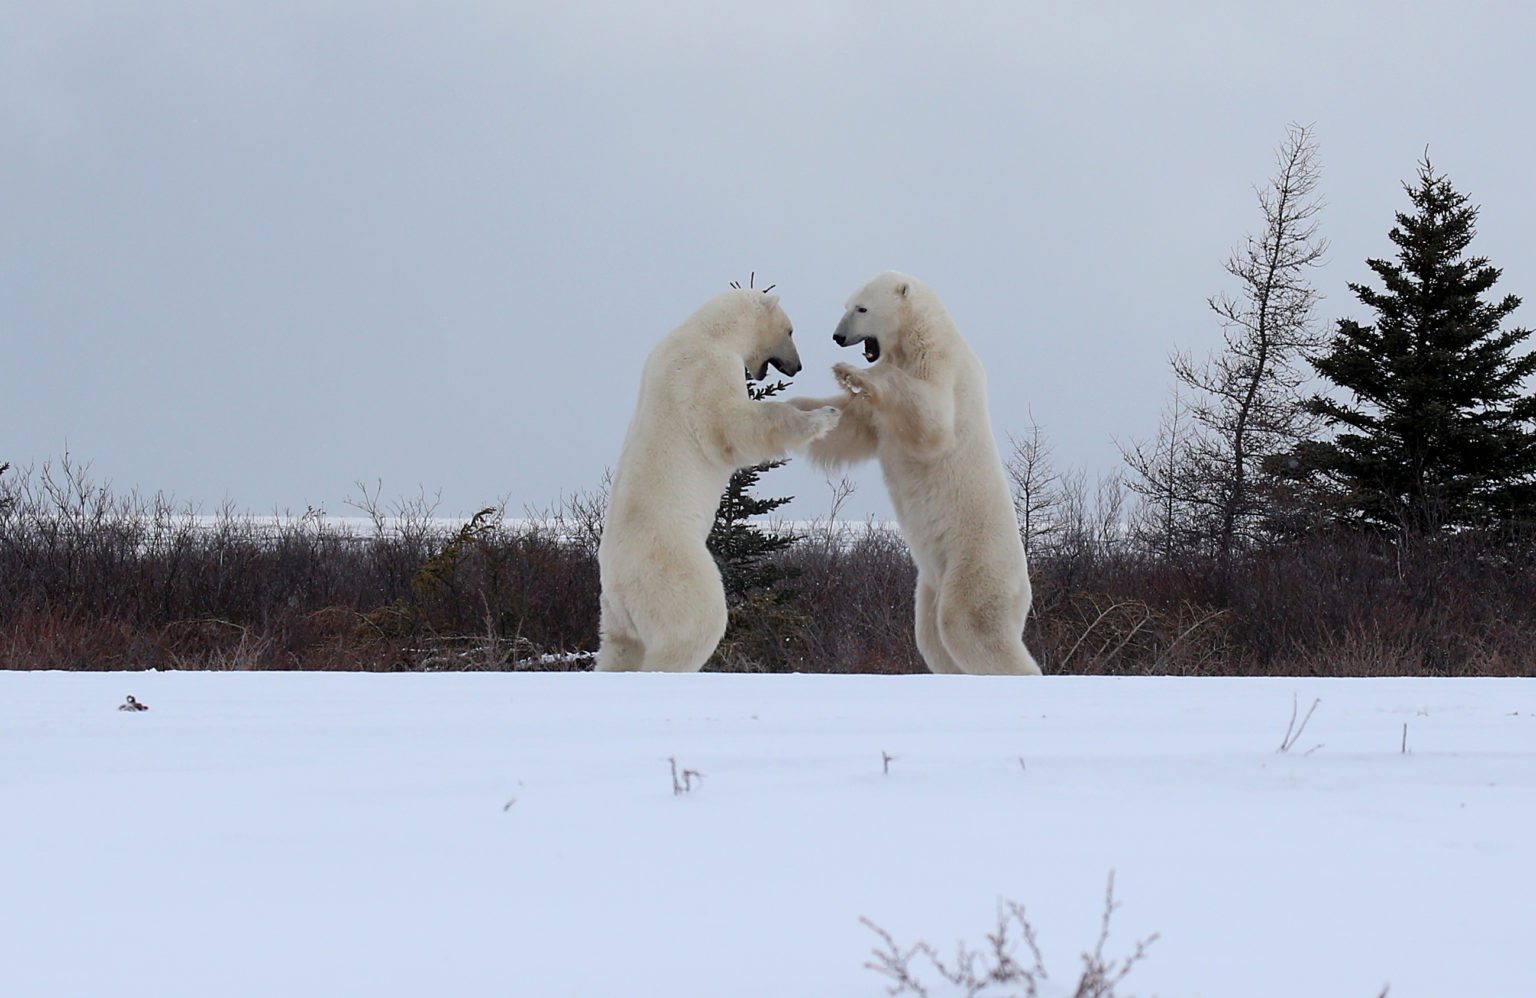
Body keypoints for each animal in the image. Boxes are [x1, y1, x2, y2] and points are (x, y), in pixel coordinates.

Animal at [595, 291, 841, 672]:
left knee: (619, 648)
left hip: (614, 612)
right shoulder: (705, 370)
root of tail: (618, 583)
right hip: (671, 570)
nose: (797, 366)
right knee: (694, 625)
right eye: (790, 330)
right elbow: (732, 425)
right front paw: (825, 415)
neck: (707, 331)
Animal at [792, 271, 1044, 672]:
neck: (919, 336)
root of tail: (1024, 586)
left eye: (862, 308)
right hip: (930, 581)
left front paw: (853, 373)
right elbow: (850, 426)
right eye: (846, 305)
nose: (837, 337)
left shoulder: (942, 366)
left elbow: (929, 416)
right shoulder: (875, 416)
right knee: (931, 637)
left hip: (974, 565)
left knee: (968, 624)